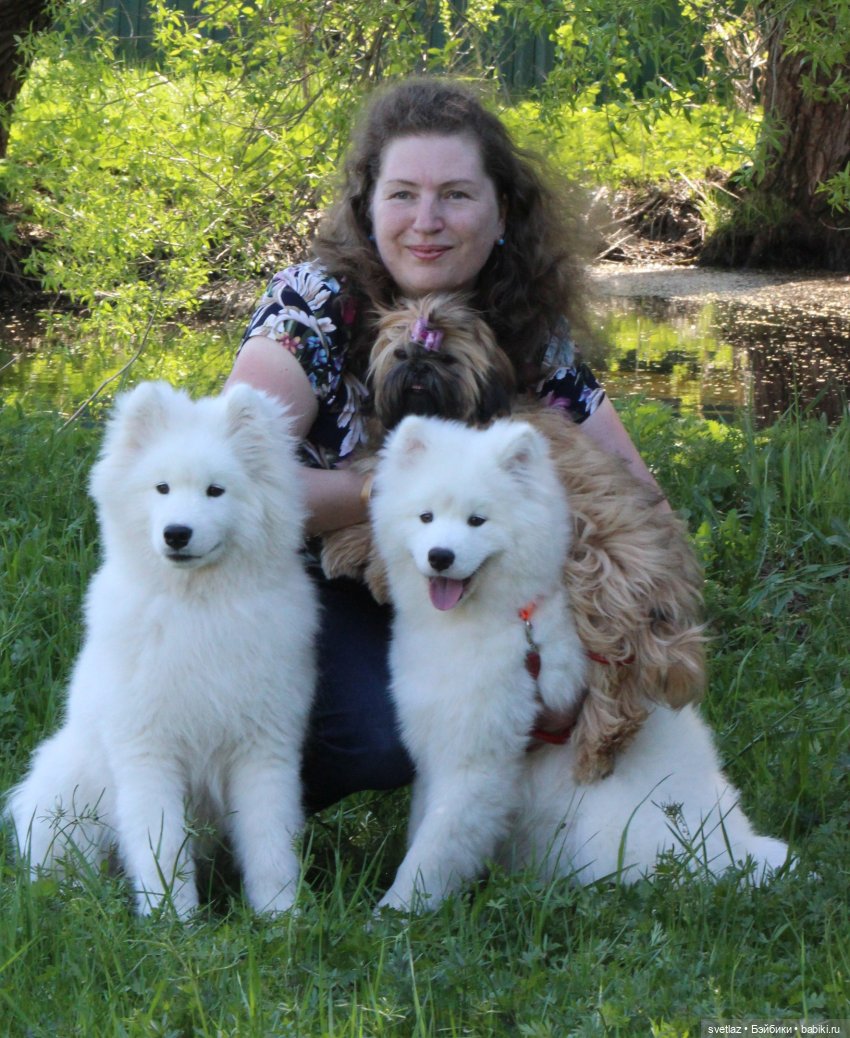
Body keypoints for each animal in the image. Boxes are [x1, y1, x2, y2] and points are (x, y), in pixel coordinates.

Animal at [6, 381, 318, 918]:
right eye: (162, 489)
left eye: (216, 490)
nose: (177, 533)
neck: (198, 609)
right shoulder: (148, 751)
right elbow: (162, 846)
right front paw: (174, 921)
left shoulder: (264, 748)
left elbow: (270, 842)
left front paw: (281, 917)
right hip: (66, 794)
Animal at [321, 293, 706, 781]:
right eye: (401, 354)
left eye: (446, 358)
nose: (418, 367)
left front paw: (352, 551)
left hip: (596, 573)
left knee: (616, 671)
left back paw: (599, 741)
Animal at [371, 416, 789, 912]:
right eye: (426, 517)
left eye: (477, 520)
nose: (441, 556)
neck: (506, 618)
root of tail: (735, 846)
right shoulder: (434, 746)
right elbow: (427, 824)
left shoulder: (479, 759)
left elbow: (438, 844)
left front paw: (397, 910)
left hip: (609, 826)